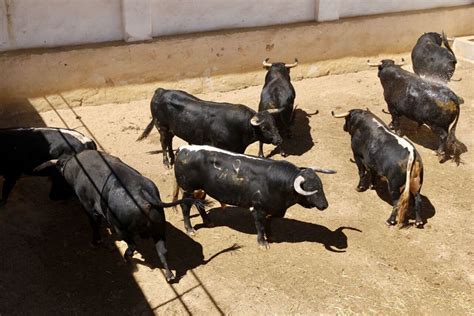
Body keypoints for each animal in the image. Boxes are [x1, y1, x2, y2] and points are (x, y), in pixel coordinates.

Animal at [35, 149, 206, 282]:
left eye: (56, 178)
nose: (53, 196)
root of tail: (144, 195)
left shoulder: (89, 207)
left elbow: (94, 224)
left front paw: (95, 242)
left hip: (121, 229)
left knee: (132, 245)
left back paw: (125, 258)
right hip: (159, 230)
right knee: (162, 250)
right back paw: (169, 275)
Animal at [138, 88, 286, 168]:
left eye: (274, 124)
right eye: (265, 127)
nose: (279, 140)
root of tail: (161, 91)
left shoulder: (239, 148)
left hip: (171, 129)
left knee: (169, 142)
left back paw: (173, 159)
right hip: (162, 127)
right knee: (164, 143)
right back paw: (166, 163)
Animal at [172, 144, 336, 248]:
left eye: (321, 186)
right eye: (311, 188)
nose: (325, 205)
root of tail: (183, 148)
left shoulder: (274, 209)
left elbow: (269, 222)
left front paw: (271, 236)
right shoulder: (258, 209)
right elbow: (260, 225)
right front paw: (263, 243)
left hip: (200, 189)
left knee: (199, 203)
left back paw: (208, 221)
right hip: (188, 189)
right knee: (186, 206)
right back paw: (190, 229)